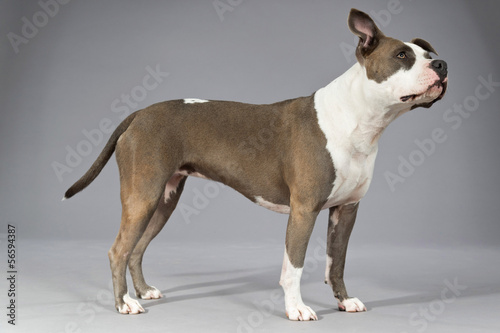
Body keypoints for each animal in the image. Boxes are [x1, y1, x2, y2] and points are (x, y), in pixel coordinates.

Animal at [63, 7, 450, 320]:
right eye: (402, 55)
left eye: (428, 54)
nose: (442, 64)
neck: (359, 118)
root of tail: (139, 113)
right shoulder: (304, 210)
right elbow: (294, 267)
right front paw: (296, 309)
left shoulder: (347, 210)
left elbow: (336, 262)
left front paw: (344, 301)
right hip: (142, 196)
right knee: (118, 250)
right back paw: (124, 304)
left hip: (163, 200)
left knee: (137, 249)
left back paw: (142, 291)